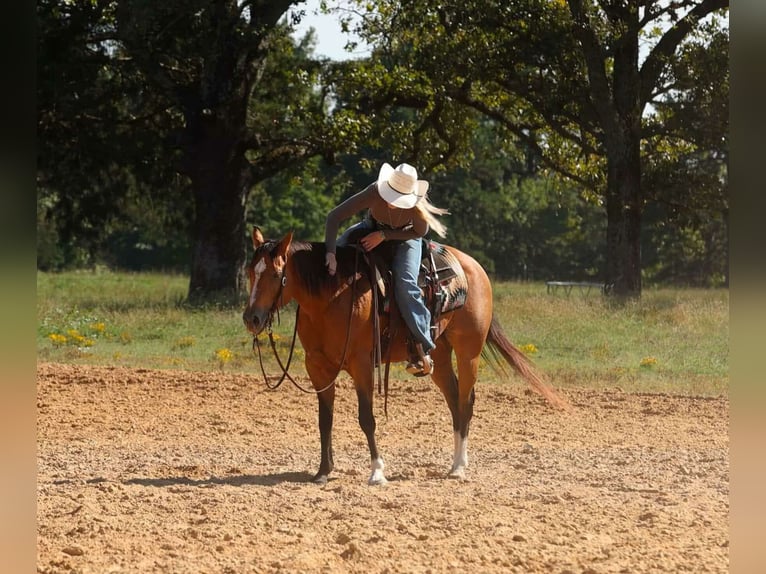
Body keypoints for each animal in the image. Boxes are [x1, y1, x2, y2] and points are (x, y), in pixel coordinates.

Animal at [242, 226, 568, 485]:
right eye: (249, 273)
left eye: (275, 274)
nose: (252, 319)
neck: (332, 295)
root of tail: (473, 267)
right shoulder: (317, 366)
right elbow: (325, 419)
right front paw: (323, 471)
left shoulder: (362, 363)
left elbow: (367, 418)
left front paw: (377, 472)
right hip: (440, 353)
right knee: (454, 400)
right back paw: (453, 463)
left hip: (469, 352)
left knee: (466, 402)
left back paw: (459, 468)